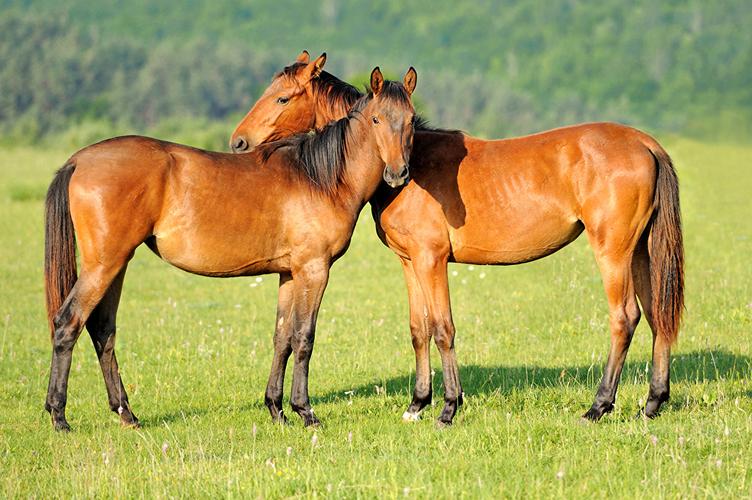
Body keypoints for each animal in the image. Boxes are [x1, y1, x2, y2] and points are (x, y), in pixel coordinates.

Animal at [43, 67, 417, 431]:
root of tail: (78, 160)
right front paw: (305, 412)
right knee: (68, 323)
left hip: (116, 265)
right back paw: (59, 416)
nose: (398, 173)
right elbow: (304, 338)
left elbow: (282, 338)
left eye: (411, 120)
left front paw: (277, 410)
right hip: (103, 266)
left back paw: (126, 414)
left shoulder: (289, 274)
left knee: (102, 330)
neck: (320, 178)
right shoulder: (314, 270)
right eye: (376, 119)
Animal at [230, 51, 684, 426]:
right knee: (658, 316)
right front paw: (417, 404)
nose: (238, 141)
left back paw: (598, 406)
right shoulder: (409, 261)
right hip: (641, 252)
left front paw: (448, 407)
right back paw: (652, 403)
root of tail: (645, 142)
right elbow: (419, 328)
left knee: (624, 318)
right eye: (378, 120)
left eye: (281, 99)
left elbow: (443, 328)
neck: (412, 164)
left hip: (613, 252)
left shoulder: (432, 259)